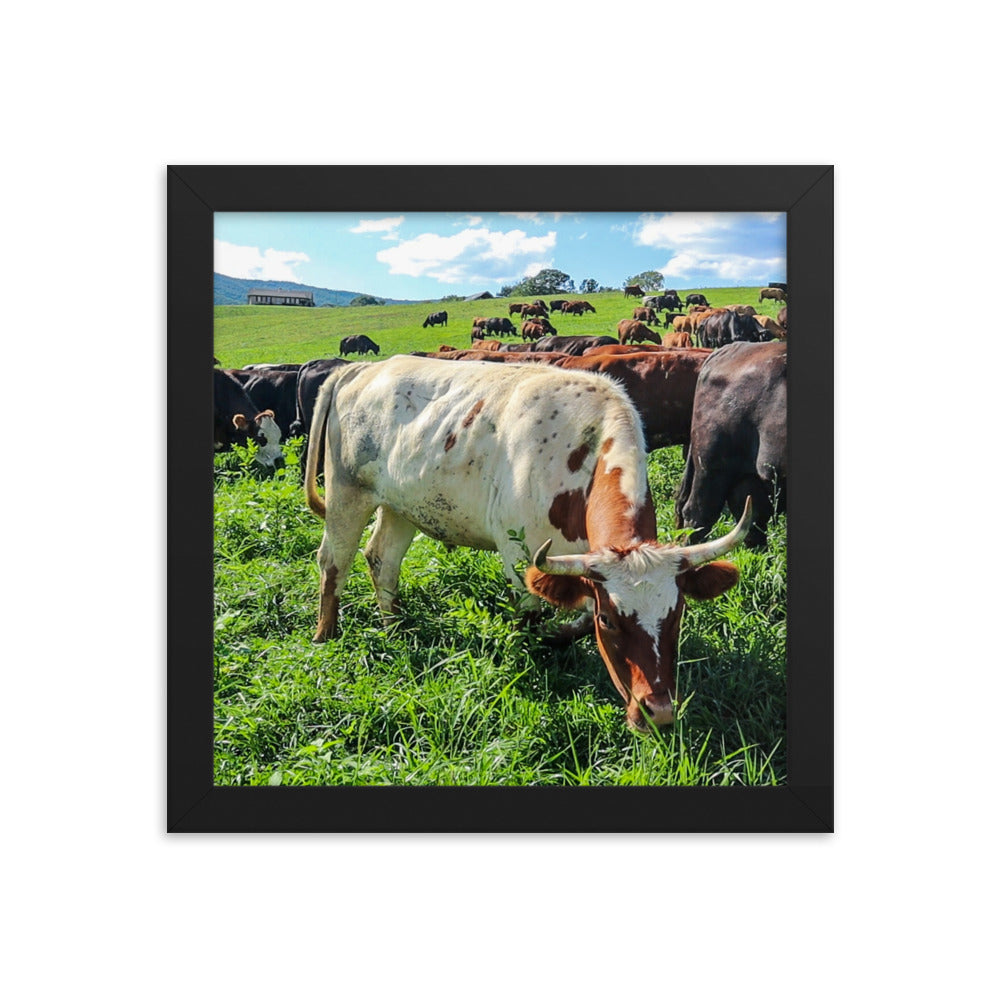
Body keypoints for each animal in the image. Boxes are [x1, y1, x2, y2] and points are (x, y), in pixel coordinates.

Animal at [304, 355, 751, 730]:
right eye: (611, 621)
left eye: (677, 614)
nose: (657, 712)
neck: (582, 453)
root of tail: (361, 368)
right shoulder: (520, 556)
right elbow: (532, 619)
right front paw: (534, 656)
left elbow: (575, 619)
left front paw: (559, 636)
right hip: (347, 494)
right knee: (333, 563)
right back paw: (326, 636)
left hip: (400, 506)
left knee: (382, 560)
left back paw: (394, 626)